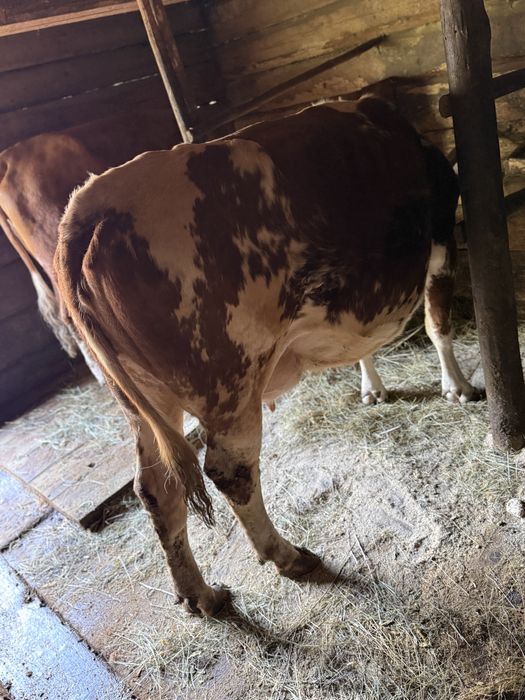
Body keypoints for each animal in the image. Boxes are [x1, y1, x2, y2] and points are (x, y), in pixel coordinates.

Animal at [55, 96, 481, 617]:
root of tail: (95, 202)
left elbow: (359, 346)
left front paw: (372, 389)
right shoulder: (442, 238)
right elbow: (439, 325)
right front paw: (458, 388)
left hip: (145, 404)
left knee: (156, 489)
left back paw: (200, 594)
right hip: (231, 382)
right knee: (229, 471)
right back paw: (286, 555)